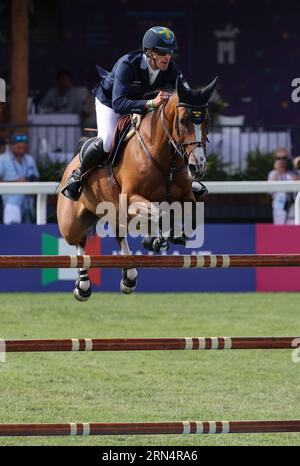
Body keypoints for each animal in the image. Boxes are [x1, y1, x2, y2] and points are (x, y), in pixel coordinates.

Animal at [57, 75, 218, 302]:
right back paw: (83, 285)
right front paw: (154, 240)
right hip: (71, 222)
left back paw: (129, 276)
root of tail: (70, 165)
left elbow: (192, 216)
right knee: (79, 241)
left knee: (118, 233)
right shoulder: (131, 198)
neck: (165, 159)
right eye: (182, 120)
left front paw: (176, 235)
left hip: (114, 212)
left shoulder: (186, 196)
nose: (198, 165)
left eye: (207, 120)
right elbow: (160, 213)